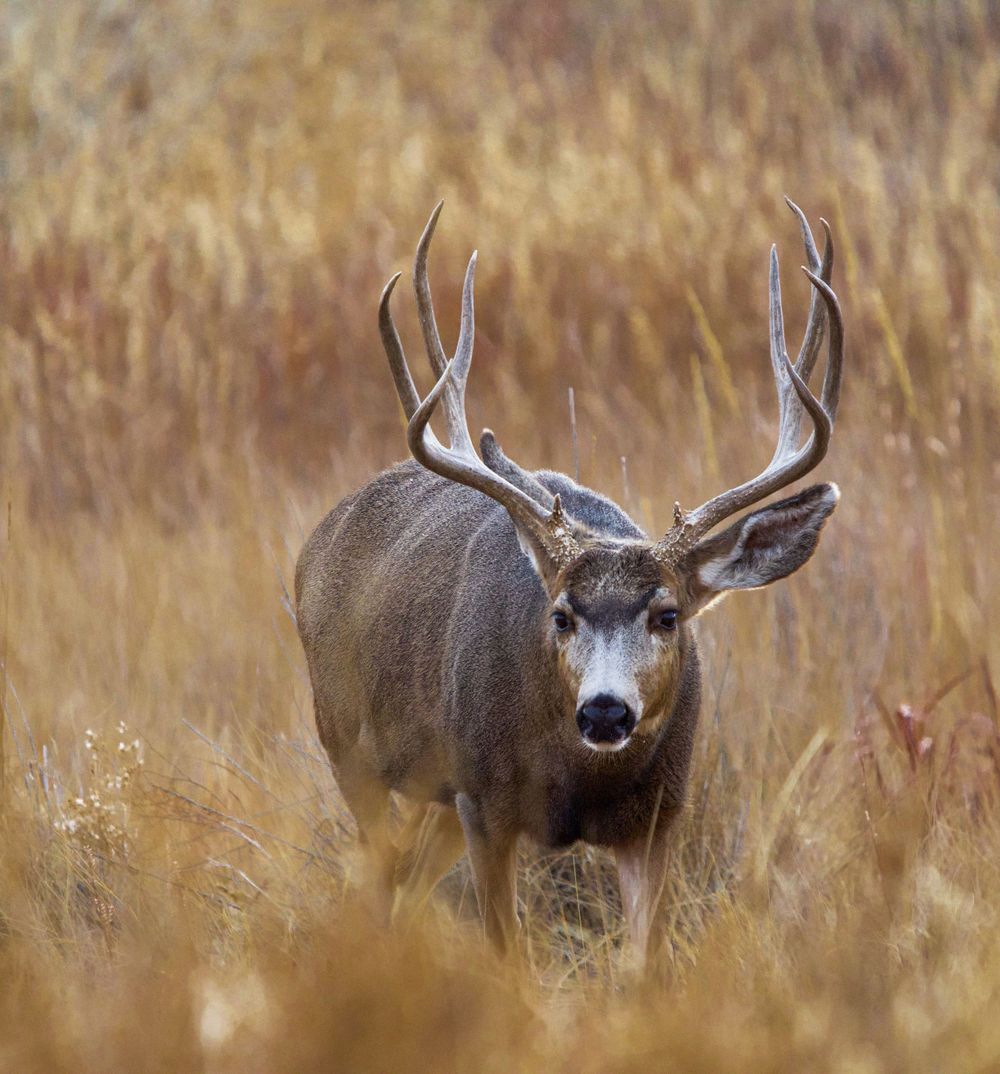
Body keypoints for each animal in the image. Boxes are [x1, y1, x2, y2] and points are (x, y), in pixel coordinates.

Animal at [295, 199, 843, 968]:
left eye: (667, 614)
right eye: (560, 615)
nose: (606, 711)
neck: (577, 783)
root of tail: (317, 543)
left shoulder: (658, 820)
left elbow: (645, 966)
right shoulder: (486, 803)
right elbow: (509, 960)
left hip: (436, 793)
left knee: (403, 878)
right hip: (349, 745)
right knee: (377, 877)